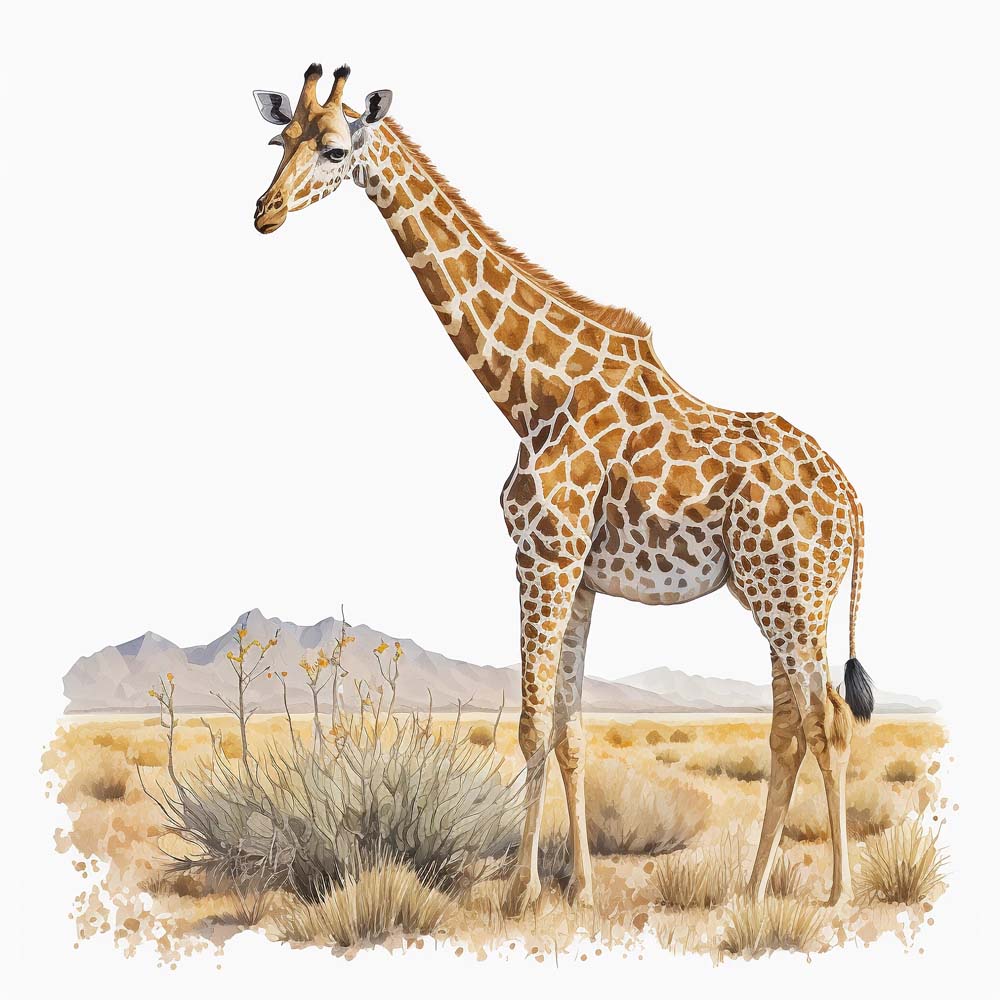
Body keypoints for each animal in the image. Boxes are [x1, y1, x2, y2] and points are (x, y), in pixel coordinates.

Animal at [252, 64, 876, 909]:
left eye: (335, 148)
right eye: (279, 141)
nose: (264, 211)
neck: (528, 390)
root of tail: (853, 500)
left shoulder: (542, 556)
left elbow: (528, 724)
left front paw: (521, 891)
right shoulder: (576, 573)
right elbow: (569, 727)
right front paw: (578, 886)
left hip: (791, 595)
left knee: (830, 720)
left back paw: (838, 893)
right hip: (782, 595)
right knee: (788, 727)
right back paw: (749, 890)